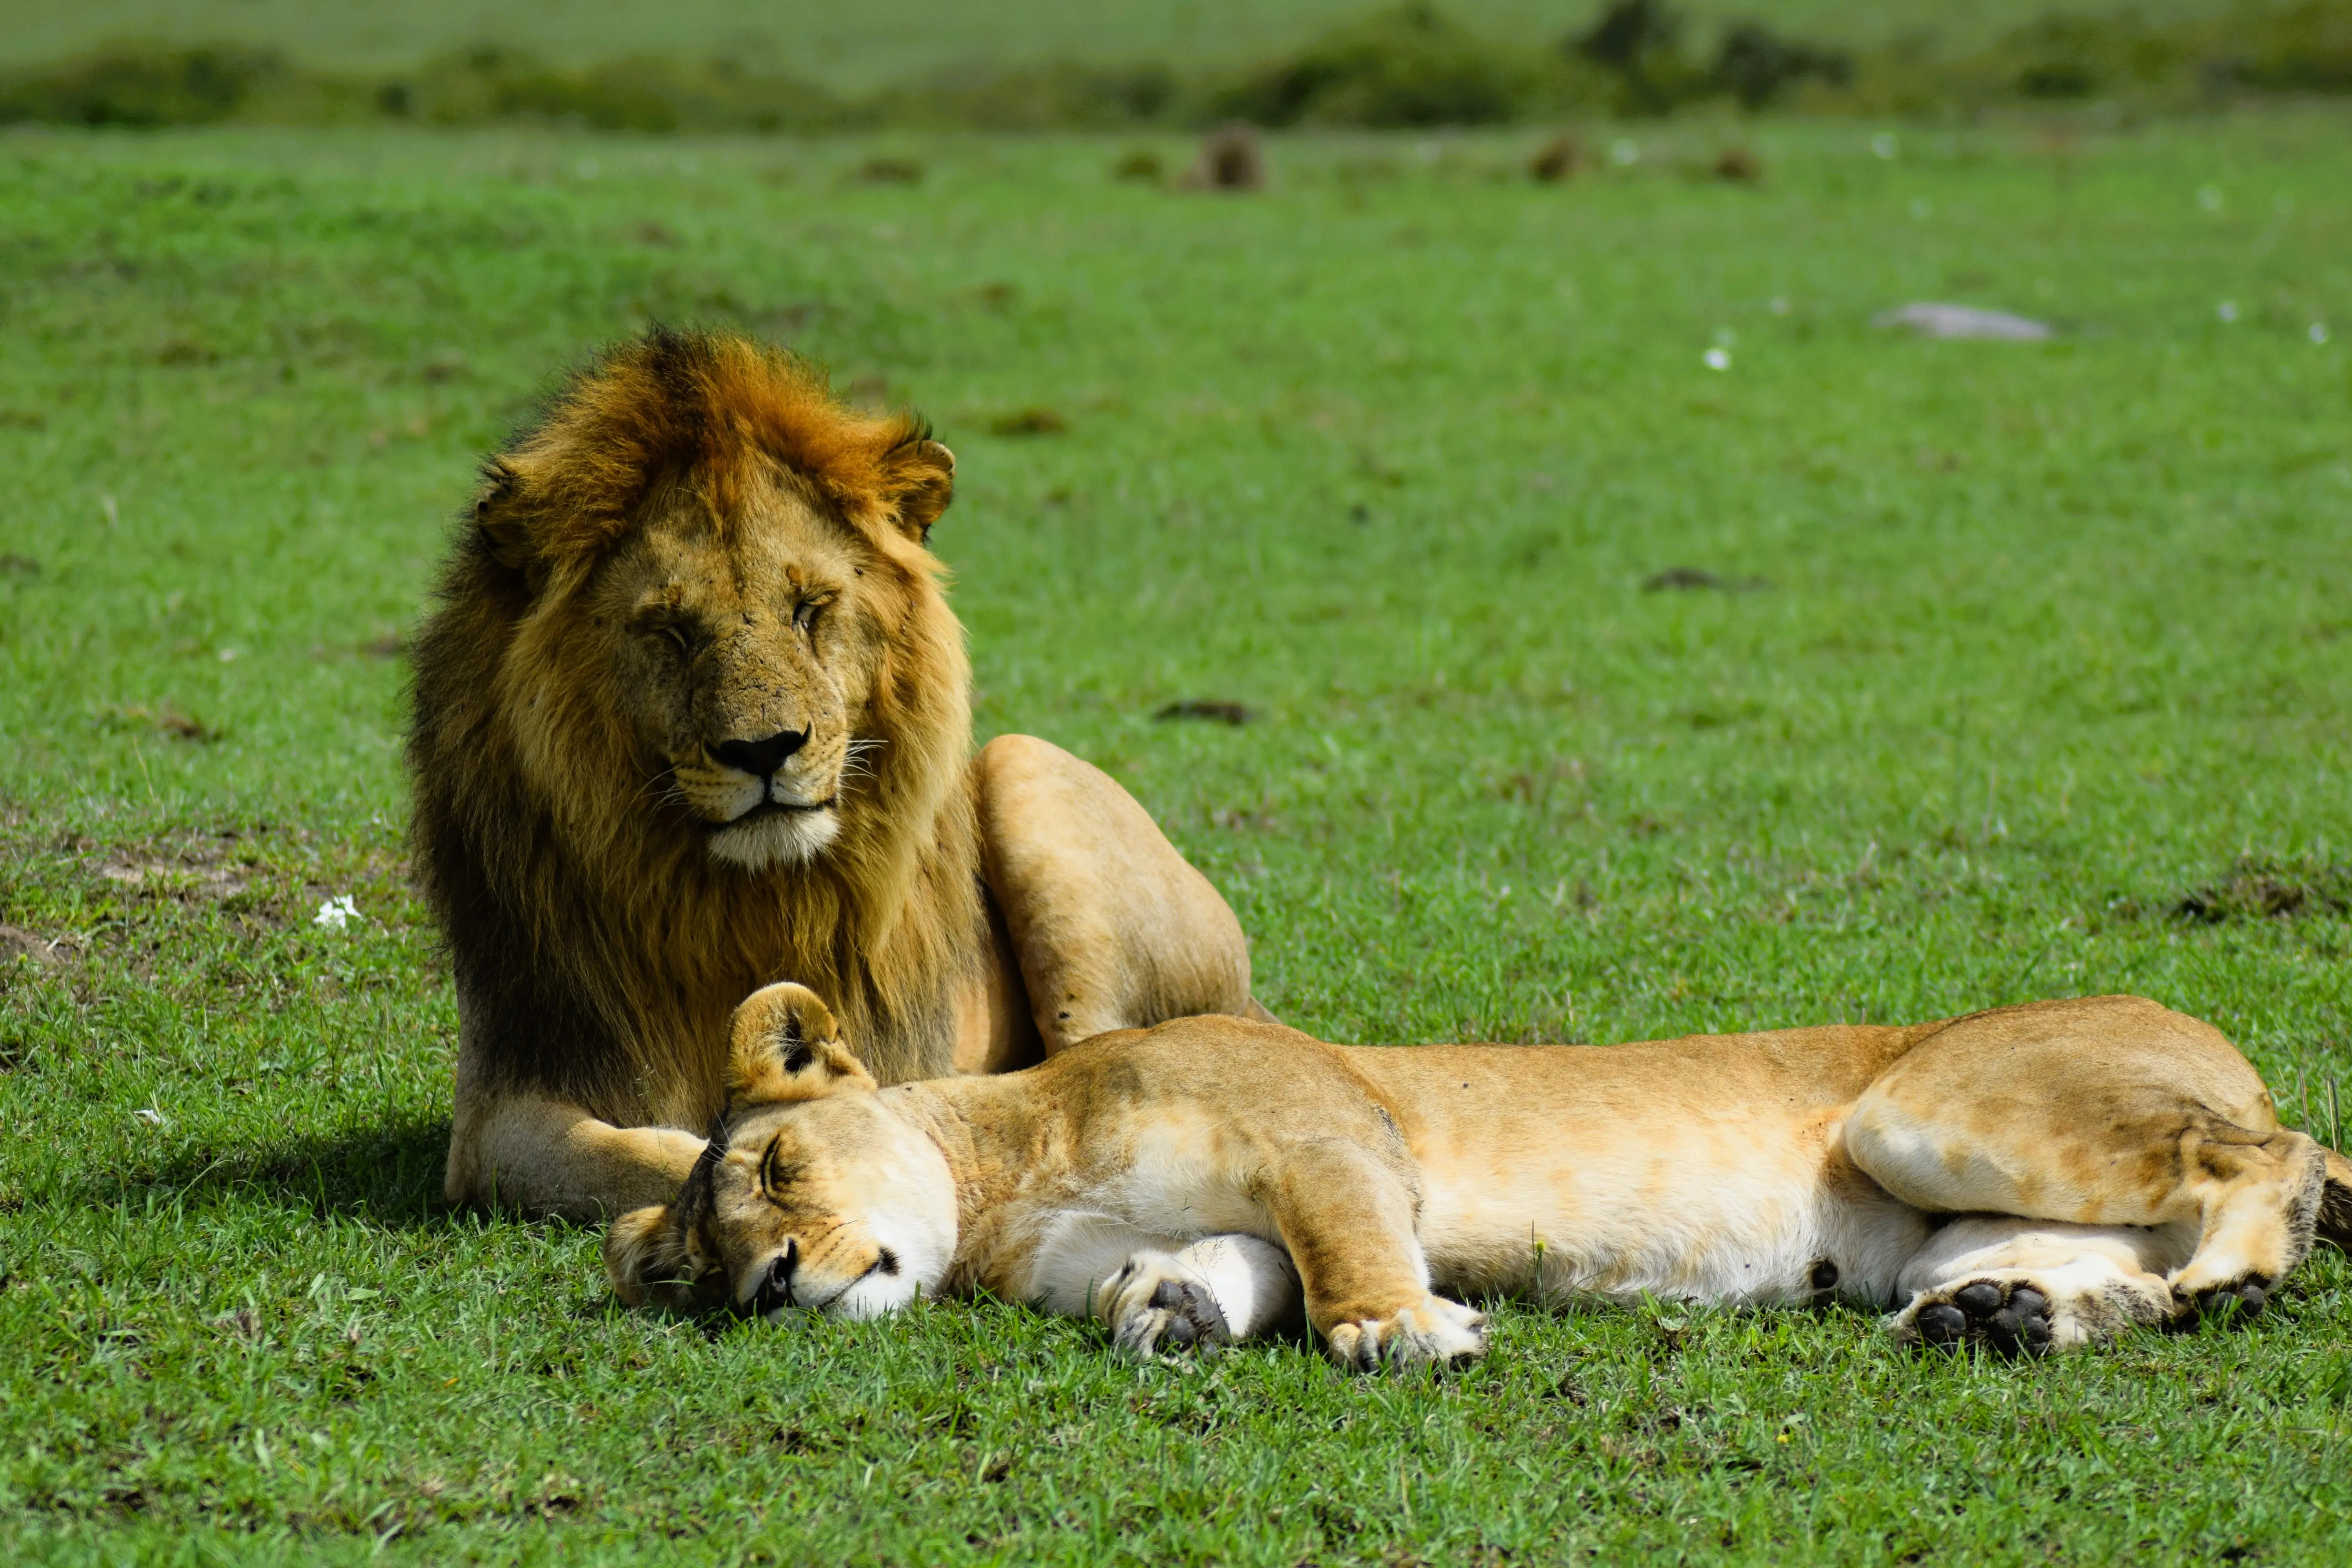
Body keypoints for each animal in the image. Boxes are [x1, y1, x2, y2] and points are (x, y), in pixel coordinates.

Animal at [419, 324, 1270, 1222]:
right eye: (673, 631)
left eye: (809, 609)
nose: (764, 749)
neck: (743, 905)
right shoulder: (498, 1103)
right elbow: (634, 1155)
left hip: (1023, 767)